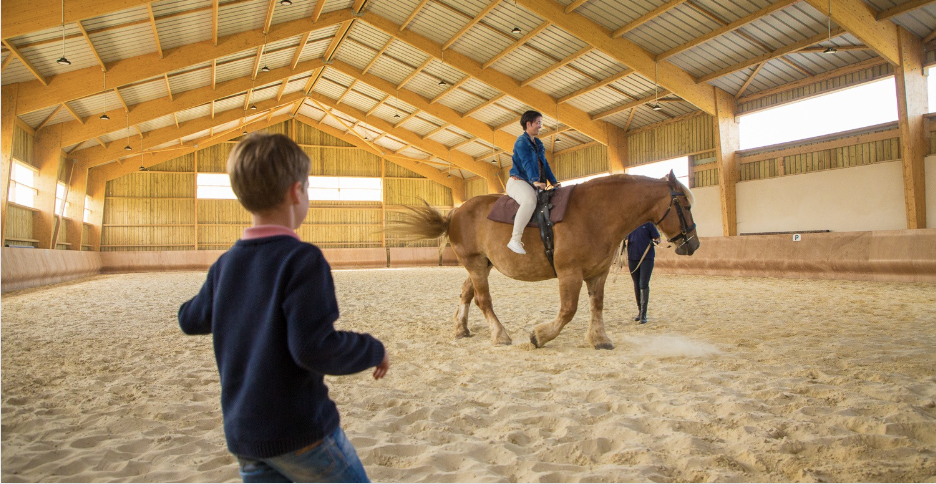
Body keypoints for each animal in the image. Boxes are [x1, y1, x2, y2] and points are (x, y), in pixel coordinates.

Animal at [392, 172, 700, 350]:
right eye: (685, 205)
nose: (693, 244)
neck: (595, 212)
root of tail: (456, 212)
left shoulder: (597, 273)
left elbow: (597, 306)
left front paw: (600, 339)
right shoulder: (570, 273)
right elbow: (568, 310)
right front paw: (539, 336)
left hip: (482, 265)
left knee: (467, 293)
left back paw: (461, 329)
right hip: (476, 264)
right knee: (483, 300)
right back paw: (500, 335)